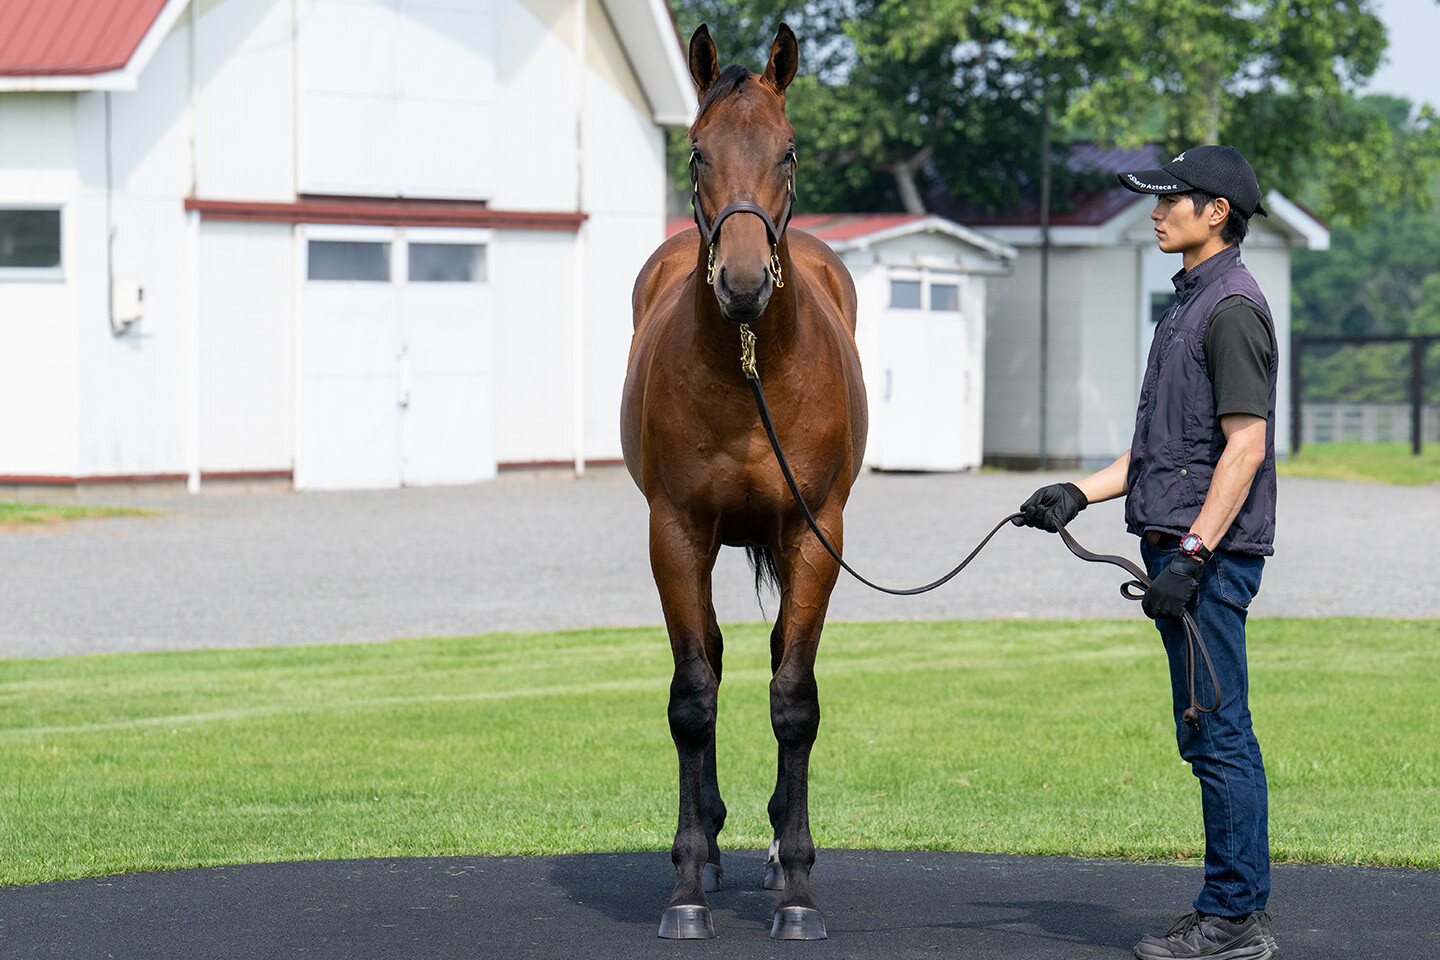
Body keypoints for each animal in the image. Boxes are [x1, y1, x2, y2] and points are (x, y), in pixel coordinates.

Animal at [619, 20, 864, 938]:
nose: (744, 281)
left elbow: (794, 698)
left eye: (787, 151)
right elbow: (693, 697)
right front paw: (688, 884)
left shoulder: (815, 534)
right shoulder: (676, 532)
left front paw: (797, 887)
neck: (752, 366)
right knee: (718, 664)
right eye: (696, 153)